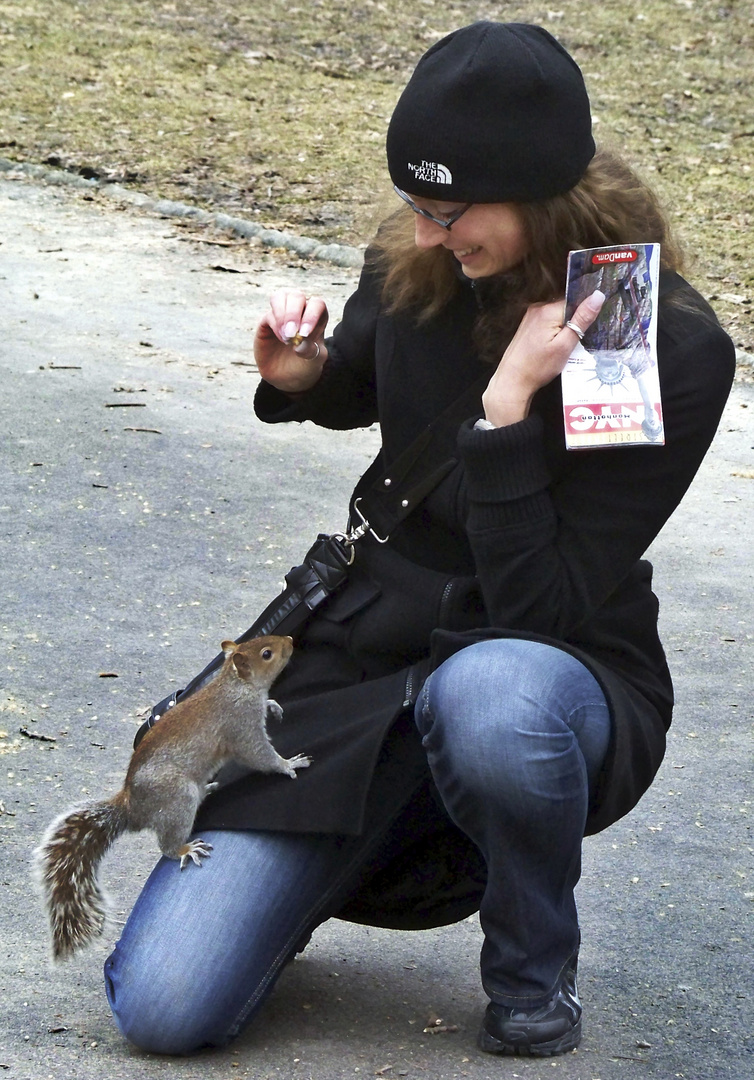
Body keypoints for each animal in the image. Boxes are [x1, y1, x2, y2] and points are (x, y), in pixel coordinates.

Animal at [32, 630, 308, 963]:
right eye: (267, 653)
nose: (290, 640)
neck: (235, 685)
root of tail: (132, 808)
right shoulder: (240, 726)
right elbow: (259, 756)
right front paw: (289, 764)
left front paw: (273, 704)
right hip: (177, 798)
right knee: (167, 845)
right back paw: (185, 848)